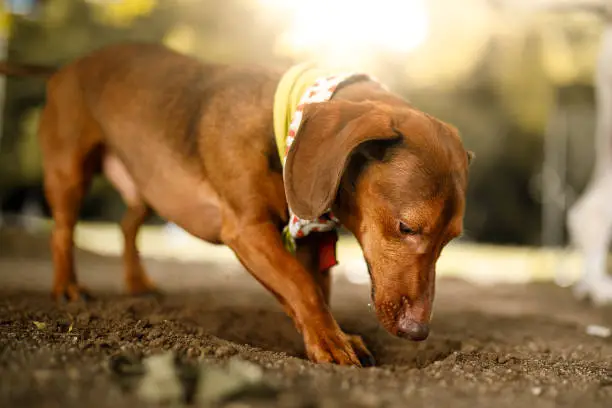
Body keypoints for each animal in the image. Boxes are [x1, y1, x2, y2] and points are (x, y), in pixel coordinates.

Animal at [2, 43, 474, 364]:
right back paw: (67, 288)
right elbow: (301, 287)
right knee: (63, 230)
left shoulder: (306, 242)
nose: (418, 331)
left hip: (153, 184)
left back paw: (137, 283)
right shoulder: (246, 230)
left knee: (127, 225)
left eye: (451, 240)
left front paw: (326, 333)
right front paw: (332, 341)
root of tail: (66, 67)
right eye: (406, 227)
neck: (285, 123)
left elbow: (311, 290)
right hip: (70, 173)